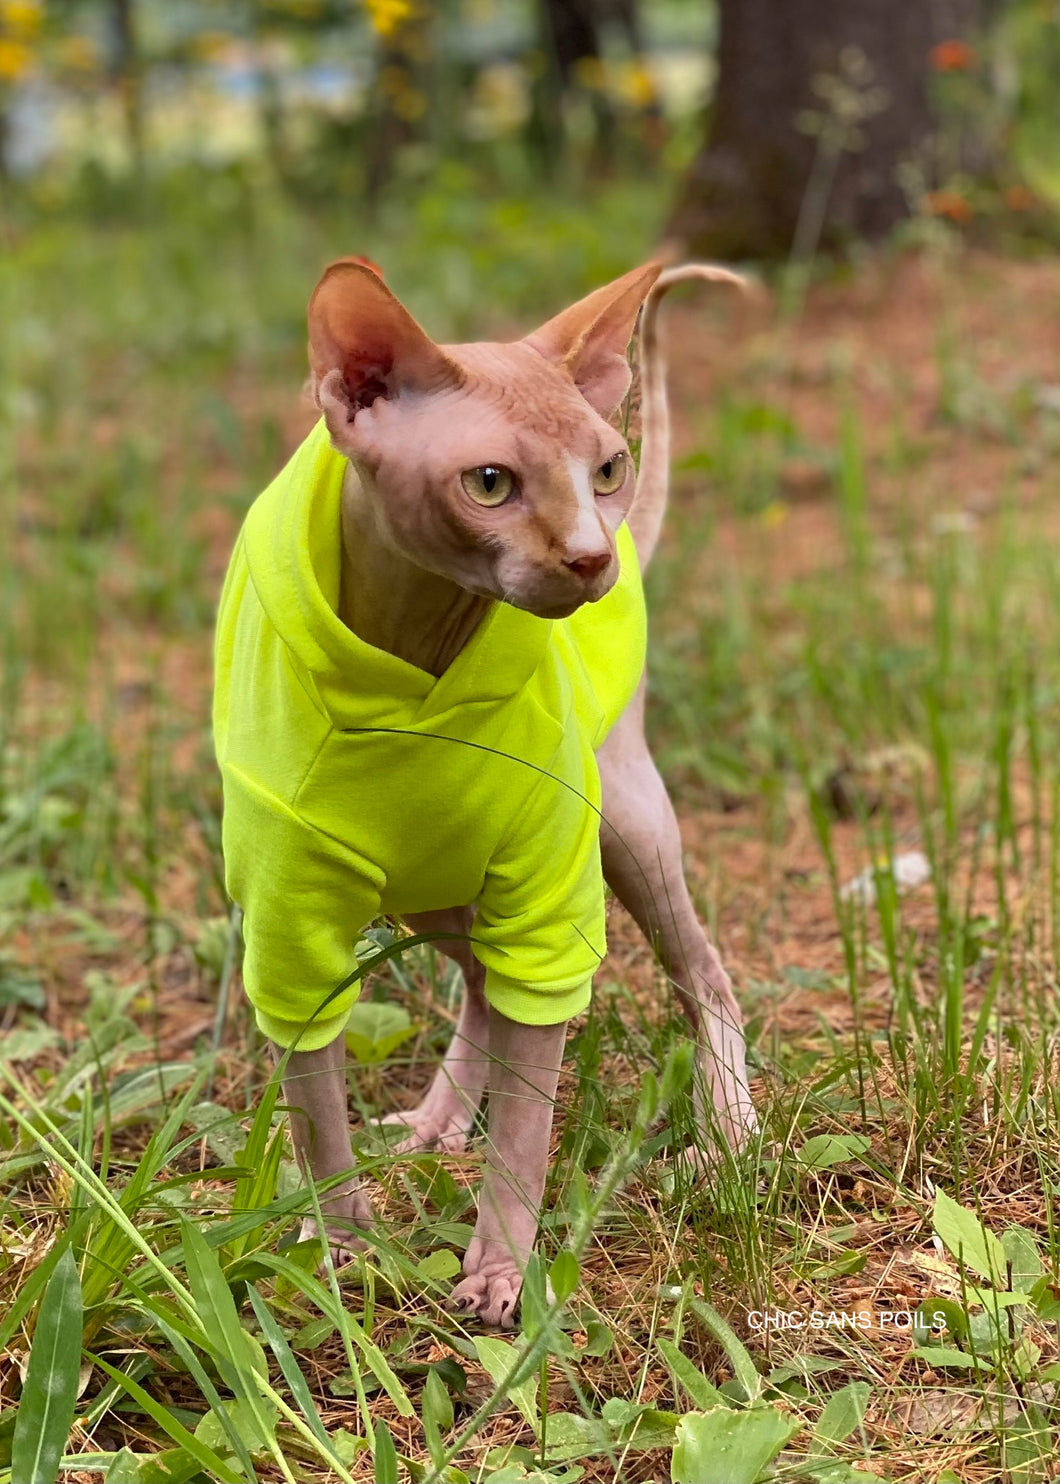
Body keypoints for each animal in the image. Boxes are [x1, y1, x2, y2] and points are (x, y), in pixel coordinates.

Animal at [252, 261, 754, 1329]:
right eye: (488, 483)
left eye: (606, 469)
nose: (594, 558)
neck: (412, 650)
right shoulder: (288, 928)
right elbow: (314, 1113)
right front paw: (343, 1251)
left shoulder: (549, 904)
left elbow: (529, 1113)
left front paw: (499, 1269)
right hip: (430, 881)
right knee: (481, 985)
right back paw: (438, 1120)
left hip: (627, 829)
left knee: (702, 972)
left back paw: (728, 1140)